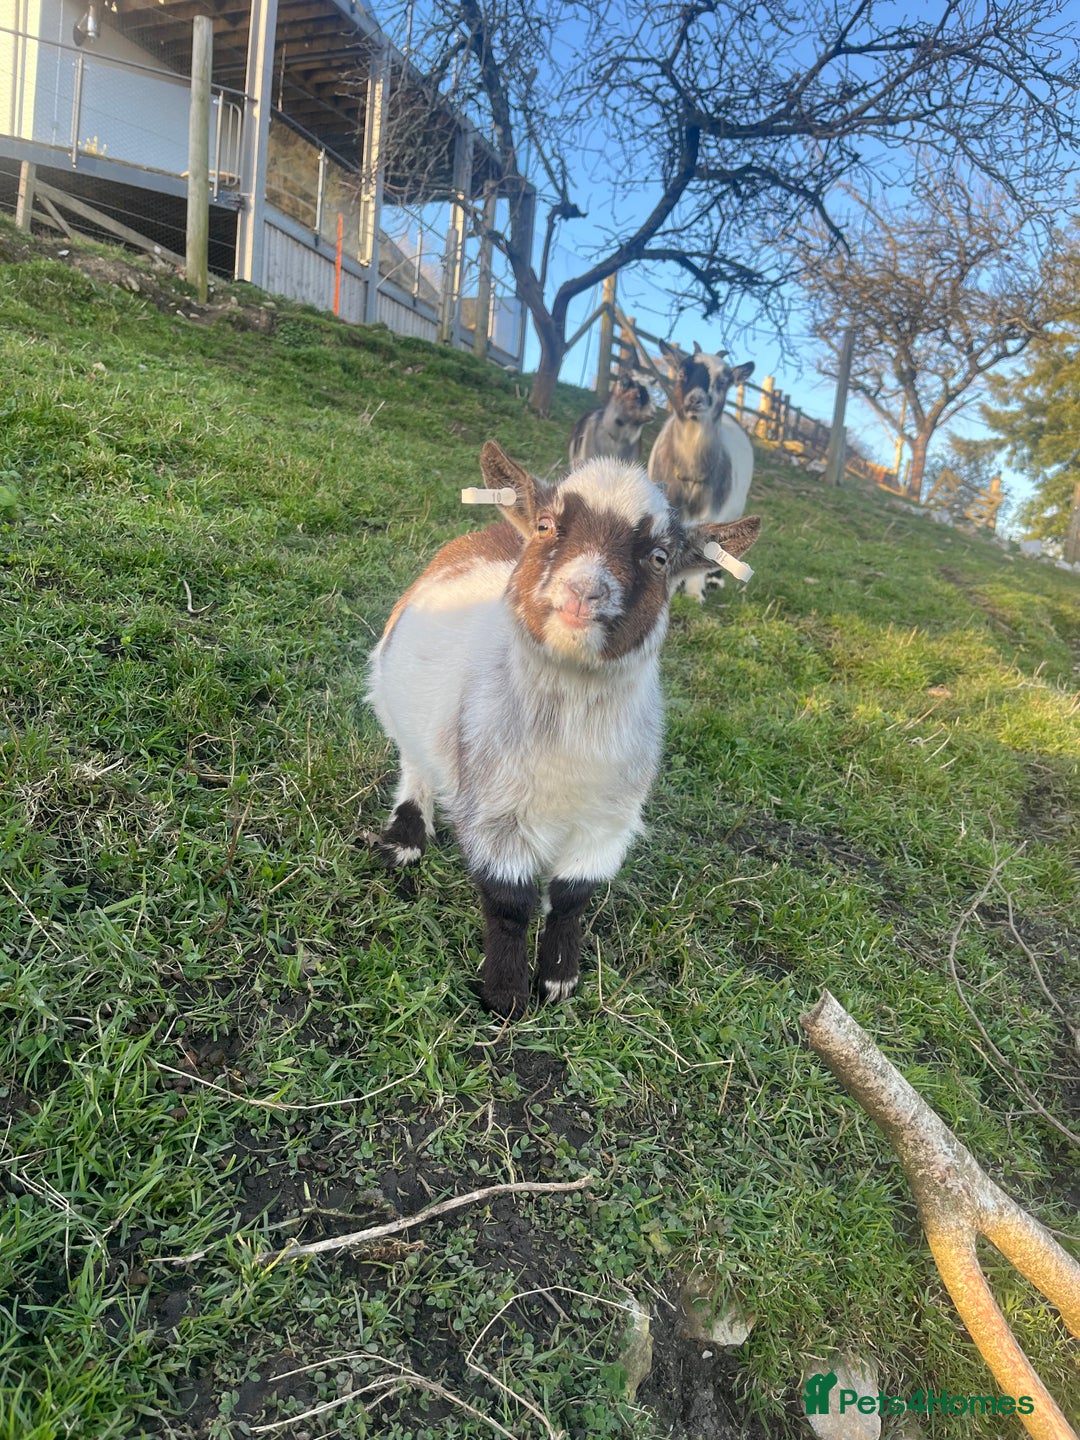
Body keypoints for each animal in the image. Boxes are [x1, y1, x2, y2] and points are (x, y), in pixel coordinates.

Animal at [366, 440, 761, 1019]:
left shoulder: (609, 823)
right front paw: (506, 995)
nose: (583, 592)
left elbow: (573, 898)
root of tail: (500, 529)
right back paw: (406, 839)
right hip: (394, 694)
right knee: (414, 763)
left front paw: (557, 980)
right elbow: (509, 902)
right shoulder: (492, 812)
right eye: (548, 526)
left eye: (659, 557)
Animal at [648, 341, 755, 602]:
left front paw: (694, 594)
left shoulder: (714, 510)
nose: (695, 401)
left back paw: (714, 581)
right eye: (681, 373)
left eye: (723, 381)